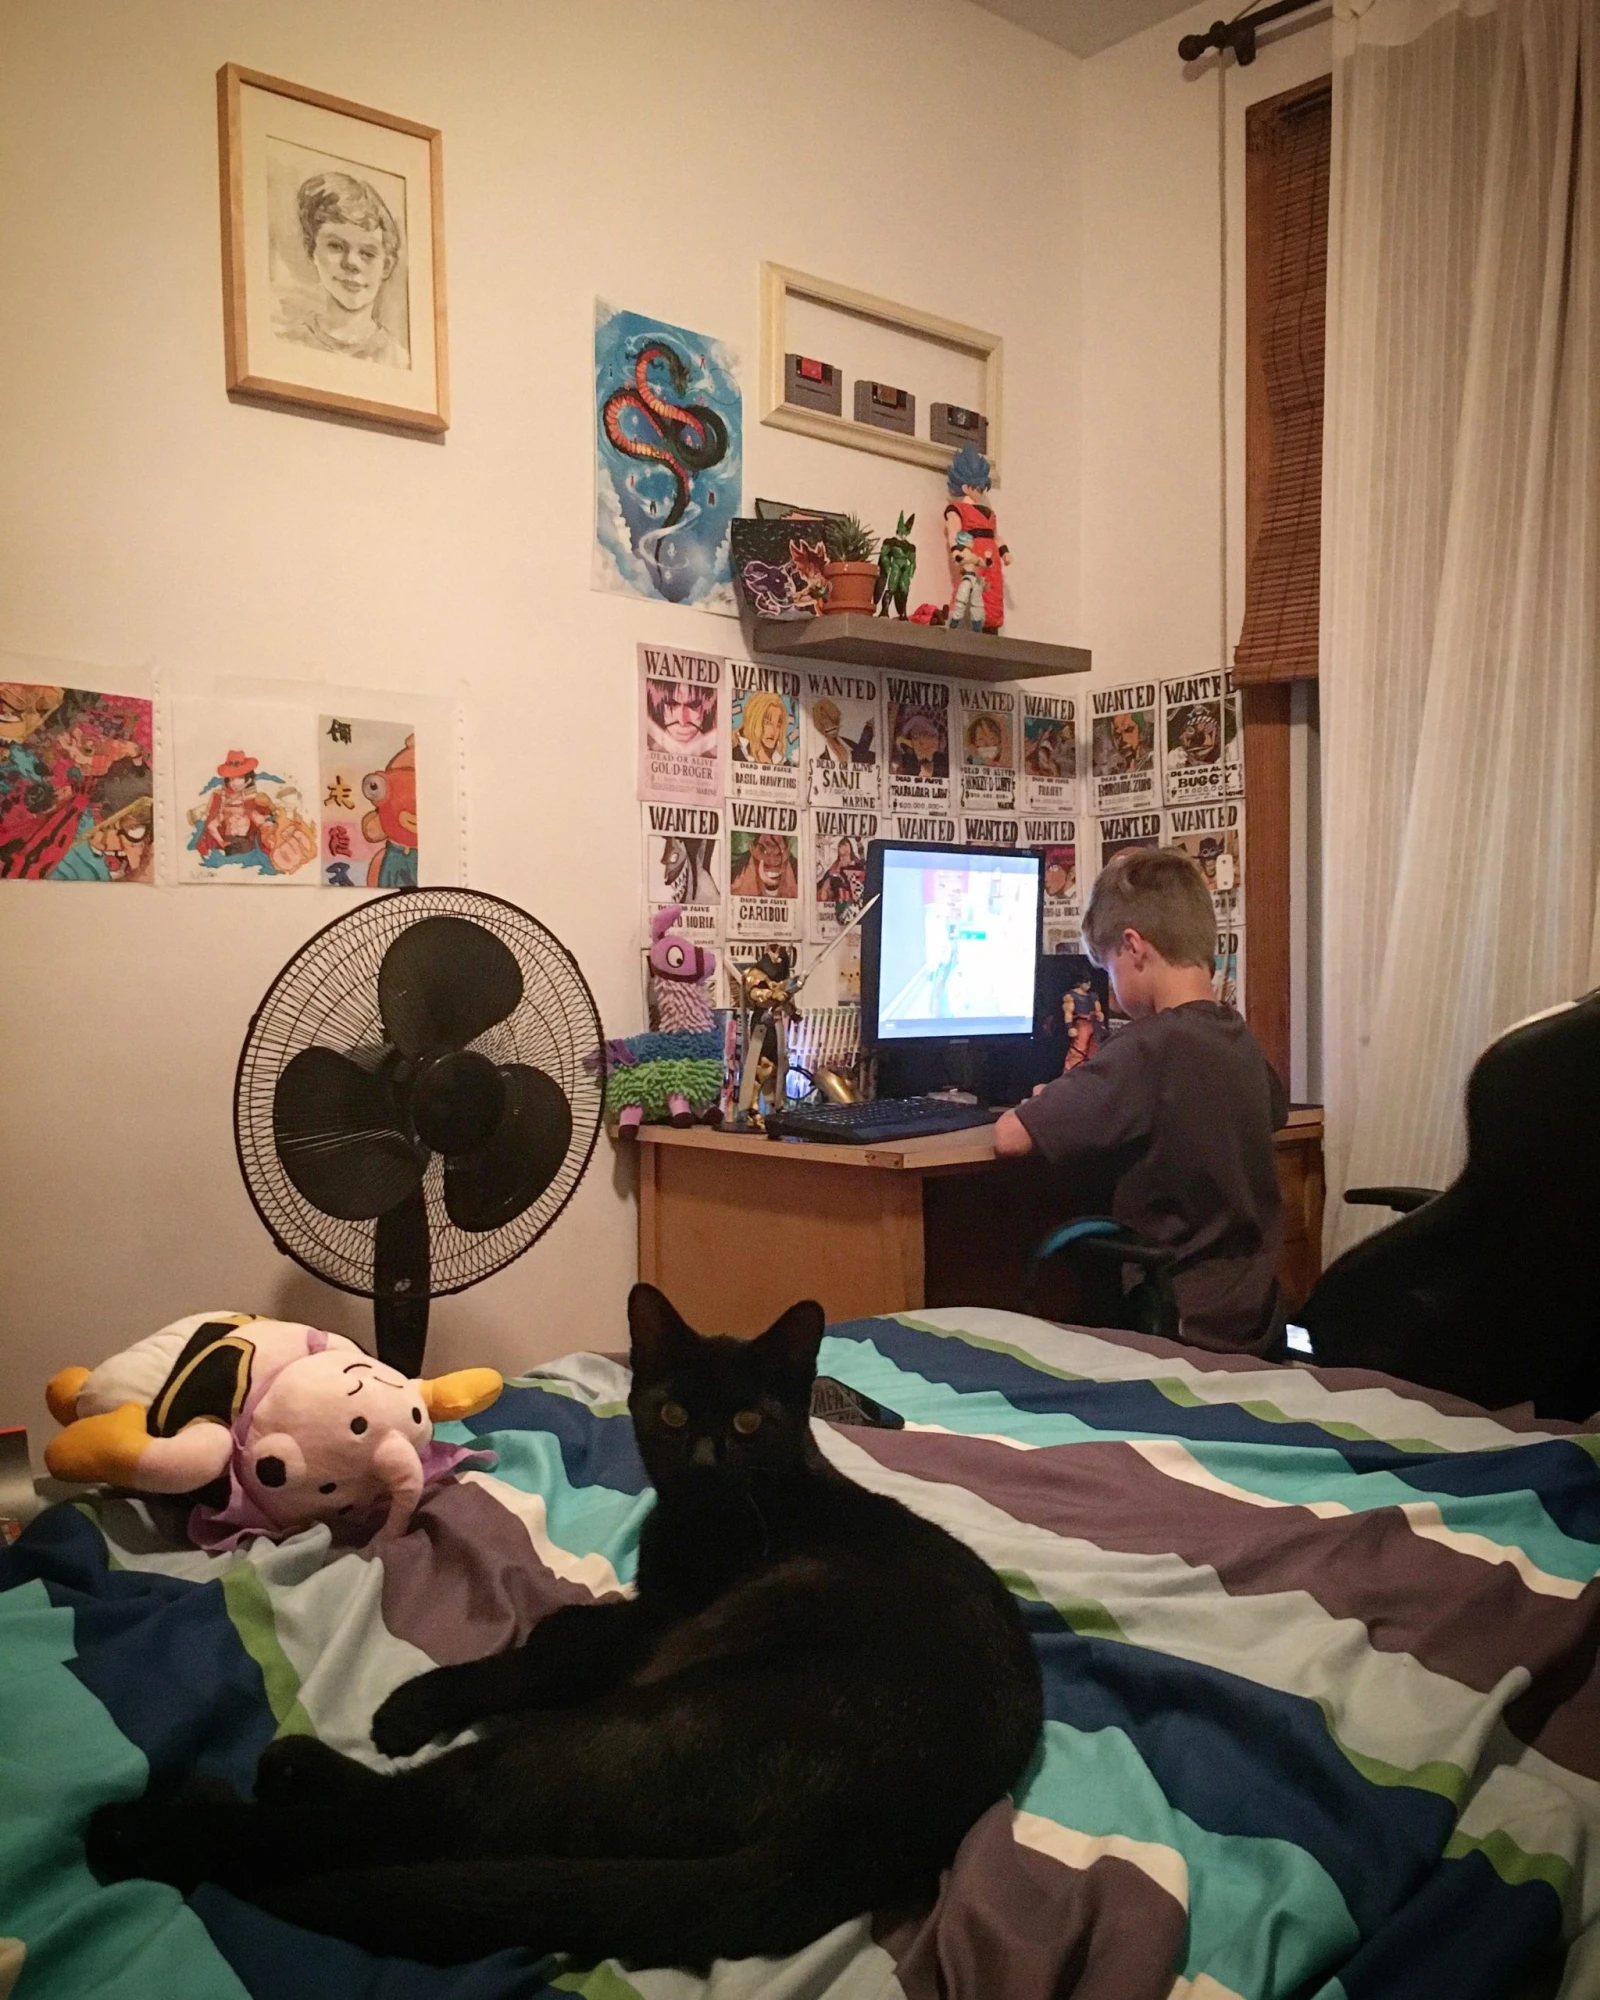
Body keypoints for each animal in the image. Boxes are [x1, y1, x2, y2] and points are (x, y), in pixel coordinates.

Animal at [87, 1284, 1044, 1969]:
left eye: (746, 1422)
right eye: (672, 1413)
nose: (704, 1459)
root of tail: (897, 1823)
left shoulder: (655, 1624)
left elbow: (536, 1652)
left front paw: (415, 1703)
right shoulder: (642, 1615)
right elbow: (560, 1628)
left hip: (624, 1728)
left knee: (419, 1820)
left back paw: (158, 1826)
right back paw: (286, 1773)